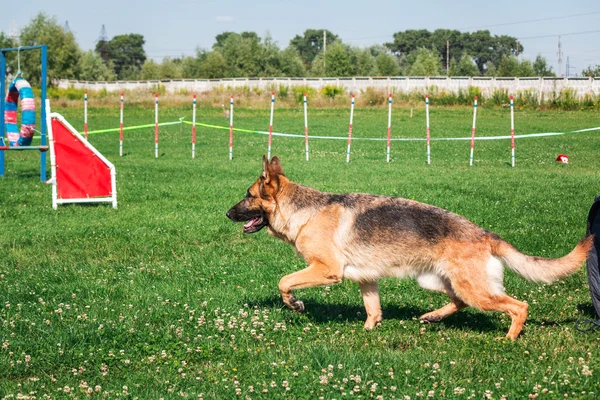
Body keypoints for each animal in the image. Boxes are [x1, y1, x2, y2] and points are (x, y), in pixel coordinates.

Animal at [227, 155, 592, 340]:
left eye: (248, 195)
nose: (227, 213)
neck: (305, 211)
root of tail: (485, 234)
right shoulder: (366, 279)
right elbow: (373, 309)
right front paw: (369, 330)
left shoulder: (327, 271)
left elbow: (284, 282)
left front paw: (295, 305)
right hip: (437, 281)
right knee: (459, 302)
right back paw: (432, 316)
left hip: (473, 288)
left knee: (519, 305)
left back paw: (510, 338)